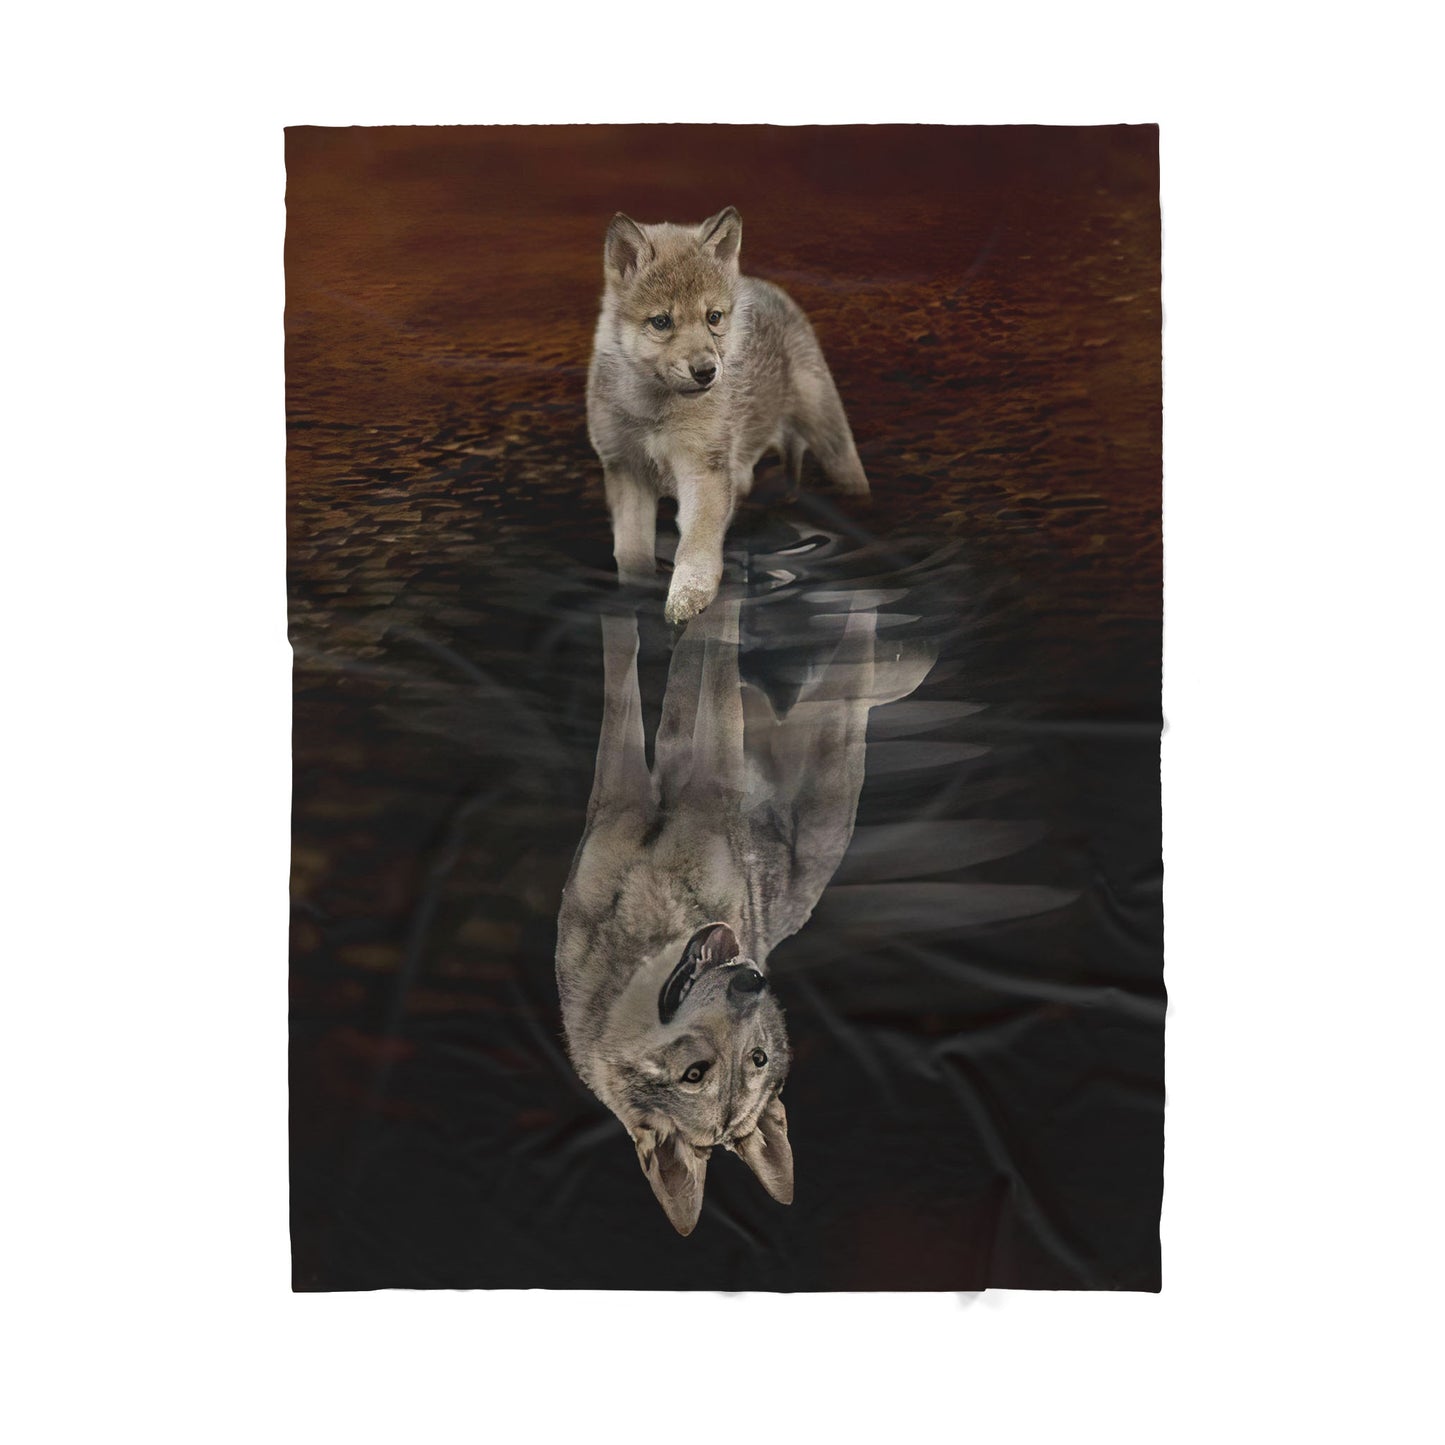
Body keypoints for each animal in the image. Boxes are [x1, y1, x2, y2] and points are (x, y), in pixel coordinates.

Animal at [555, 579, 934, 1234]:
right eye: (696, 1074)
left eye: (756, 1058)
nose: (751, 982)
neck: (644, 934)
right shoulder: (634, 787)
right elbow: (641, 669)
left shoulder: (697, 776)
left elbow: (681, 669)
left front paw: (706, 602)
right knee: (830, 681)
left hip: (827, 755)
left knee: (847, 673)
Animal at [586, 207, 869, 626]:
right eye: (661, 322)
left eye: (713, 317)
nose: (706, 371)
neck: (653, 413)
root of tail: (762, 286)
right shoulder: (625, 471)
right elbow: (632, 555)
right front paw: (637, 594)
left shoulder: (705, 469)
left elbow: (697, 547)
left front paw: (687, 600)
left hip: (831, 437)